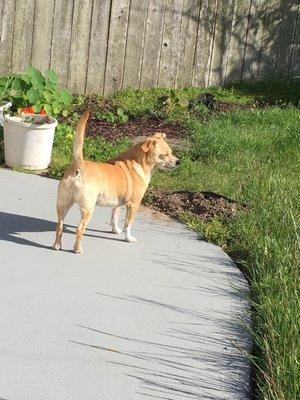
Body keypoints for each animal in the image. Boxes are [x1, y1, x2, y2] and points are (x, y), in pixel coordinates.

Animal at [52, 111, 179, 253]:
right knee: (79, 229)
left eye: (171, 152)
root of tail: (80, 165)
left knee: (59, 225)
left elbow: (114, 217)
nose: (178, 162)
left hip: (63, 204)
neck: (137, 163)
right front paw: (128, 238)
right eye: (166, 155)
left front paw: (115, 230)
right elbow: (128, 224)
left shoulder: (117, 203)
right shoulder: (133, 204)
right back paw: (77, 249)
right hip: (87, 208)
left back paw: (57, 245)